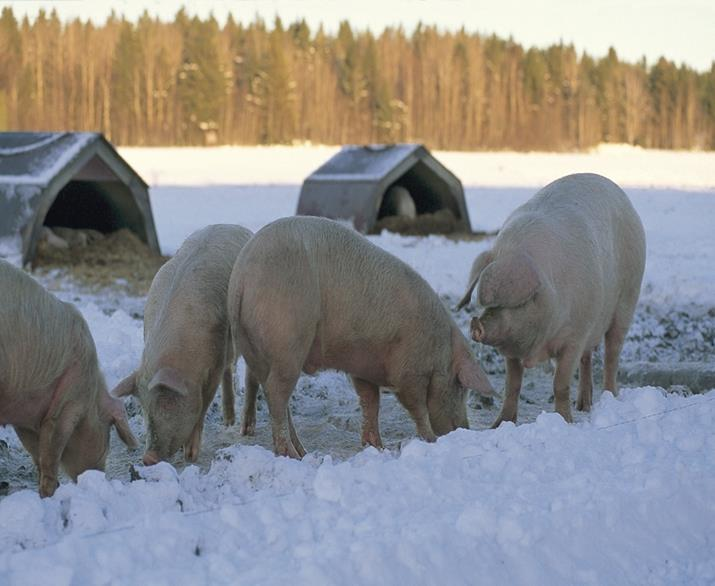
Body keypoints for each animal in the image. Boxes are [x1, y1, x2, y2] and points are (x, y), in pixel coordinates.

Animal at [0, 258, 137, 496]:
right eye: (108, 435)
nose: (99, 475)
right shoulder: (69, 400)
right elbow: (51, 452)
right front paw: (49, 494)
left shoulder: (26, 418)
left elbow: (35, 452)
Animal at [110, 221, 256, 464]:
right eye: (144, 408)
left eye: (167, 401)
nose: (148, 458)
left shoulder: (213, 363)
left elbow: (203, 406)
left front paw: (190, 455)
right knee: (230, 371)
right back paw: (228, 421)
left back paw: (245, 430)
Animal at [229, 214, 498, 456]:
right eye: (461, 386)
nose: (463, 428)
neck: (440, 349)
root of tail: (241, 277)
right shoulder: (409, 370)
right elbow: (416, 406)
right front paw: (429, 440)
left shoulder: (363, 366)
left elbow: (370, 401)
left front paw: (377, 447)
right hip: (287, 340)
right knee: (276, 393)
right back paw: (292, 454)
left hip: (257, 348)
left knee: (274, 395)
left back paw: (302, 451)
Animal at [458, 173, 648, 424]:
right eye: (484, 304)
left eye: (518, 303)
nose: (476, 325)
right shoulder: (513, 347)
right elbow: (512, 385)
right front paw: (499, 424)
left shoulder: (575, 336)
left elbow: (560, 383)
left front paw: (565, 421)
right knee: (588, 358)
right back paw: (583, 406)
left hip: (628, 297)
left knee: (611, 354)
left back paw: (609, 399)